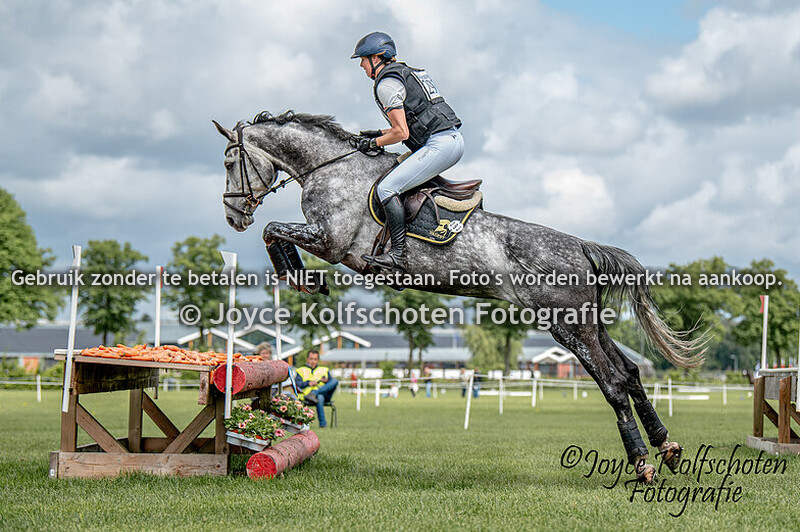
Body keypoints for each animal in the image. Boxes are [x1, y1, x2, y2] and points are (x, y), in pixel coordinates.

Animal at [213, 110, 706, 483]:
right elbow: (272, 231)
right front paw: (302, 278)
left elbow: (272, 230)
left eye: (230, 161)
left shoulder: (330, 242)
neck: (330, 167)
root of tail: (582, 246)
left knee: (614, 383)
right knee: (631, 374)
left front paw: (302, 278)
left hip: (568, 326)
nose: (233, 216)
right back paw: (667, 448)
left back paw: (642, 465)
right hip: (590, 323)